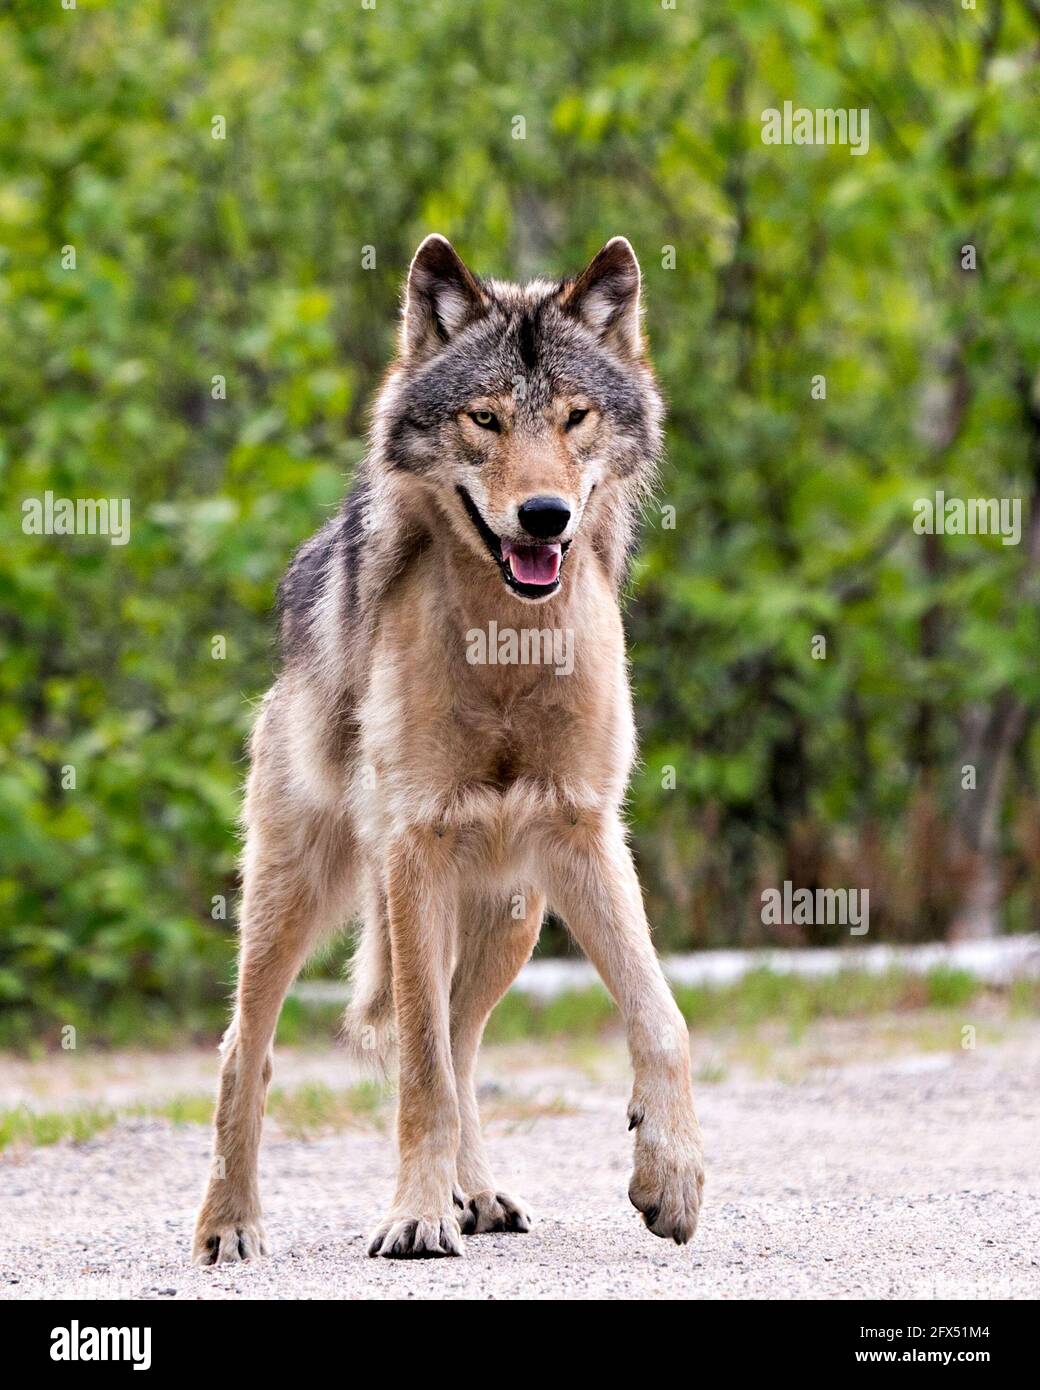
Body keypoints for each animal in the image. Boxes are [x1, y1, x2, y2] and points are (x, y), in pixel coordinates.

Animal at [190, 236, 703, 1262]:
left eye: (574, 417)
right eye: (486, 418)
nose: (544, 516)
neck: (507, 648)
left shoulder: (586, 835)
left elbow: (661, 1018)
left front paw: (671, 1178)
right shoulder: (414, 848)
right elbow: (417, 1066)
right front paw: (414, 1218)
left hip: (514, 910)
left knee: (465, 1040)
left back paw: (479, 1194)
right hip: (298, 896)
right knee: (248, 1051)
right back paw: (231, 1225)